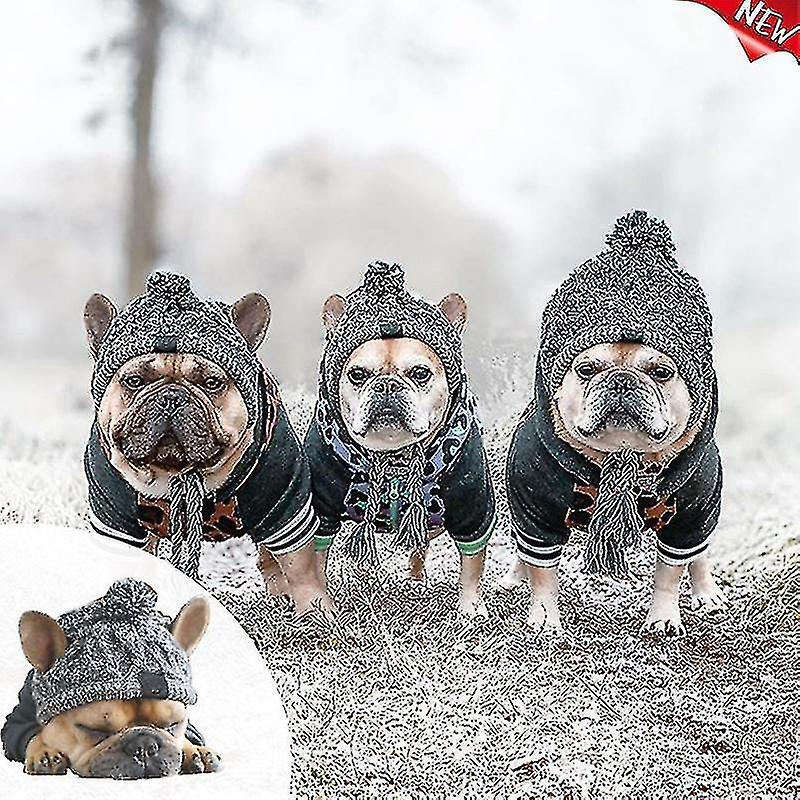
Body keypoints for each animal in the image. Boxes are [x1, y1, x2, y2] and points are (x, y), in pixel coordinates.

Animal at [1, 580, 220, 780]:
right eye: (93, 729)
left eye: (173, 724)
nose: (144, 745)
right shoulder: (16, 722)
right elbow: (34, 734)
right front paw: (43, 750)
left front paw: (194, 750)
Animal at [81, 272, 332, 616]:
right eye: (134, 381)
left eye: (212, 383)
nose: (171, 397)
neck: (179, 472)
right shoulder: (116, 523)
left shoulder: (285, 504)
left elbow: (299, 566)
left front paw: (316, 613)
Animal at [298, 262, 494, 620]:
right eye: (357, 374)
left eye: (420, 373)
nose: (388, 385)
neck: (393, 456)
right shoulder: (321, 512)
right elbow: (315, 560)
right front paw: (321, 606)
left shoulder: (471, 507)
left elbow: (472, 562)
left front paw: (471, 607)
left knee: (420, 544)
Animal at [510, 212, 728, 636]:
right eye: (586, 369)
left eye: (661, 371)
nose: (622, 380)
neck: (623, 457)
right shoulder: (536, 512)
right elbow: (543, 572)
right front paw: (544, 619)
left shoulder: (689, 517)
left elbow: (670, 572)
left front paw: (663, 618)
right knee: (523, 551)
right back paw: (513, 577)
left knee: (699, 554)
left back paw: (707, 593)